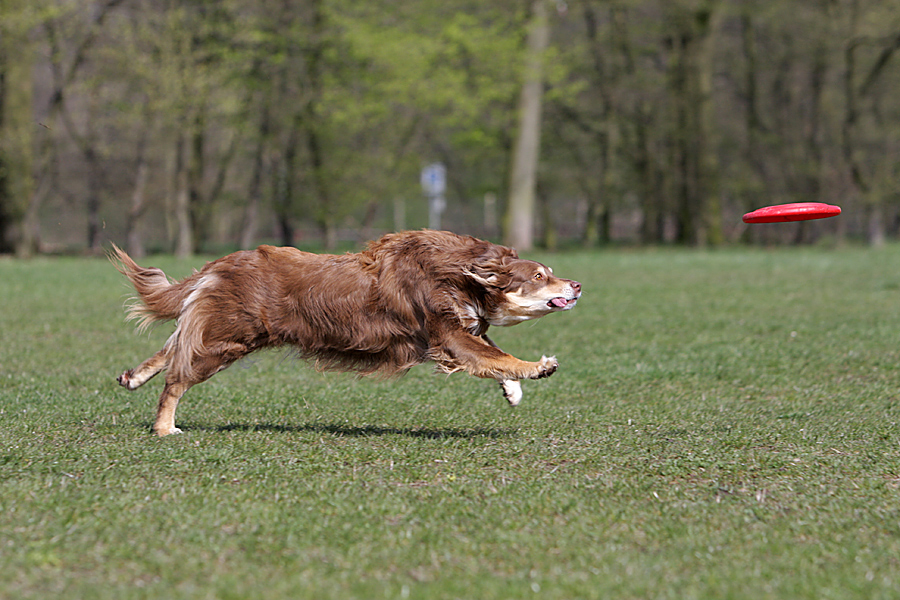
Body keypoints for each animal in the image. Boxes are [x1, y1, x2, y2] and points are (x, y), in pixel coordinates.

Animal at [110, 230, 584, 436]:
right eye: (540, 276)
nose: (577, 285)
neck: (461, 274)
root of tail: (221, 263)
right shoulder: (446, 334)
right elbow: (495, 355)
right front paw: (537, 368)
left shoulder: (456, 331)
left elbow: (492, 352)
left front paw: (512, 390)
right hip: (227, 339)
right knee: (177, 376)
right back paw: (165, 428)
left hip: (221, 330)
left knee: (172, 346)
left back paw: (133, 377)